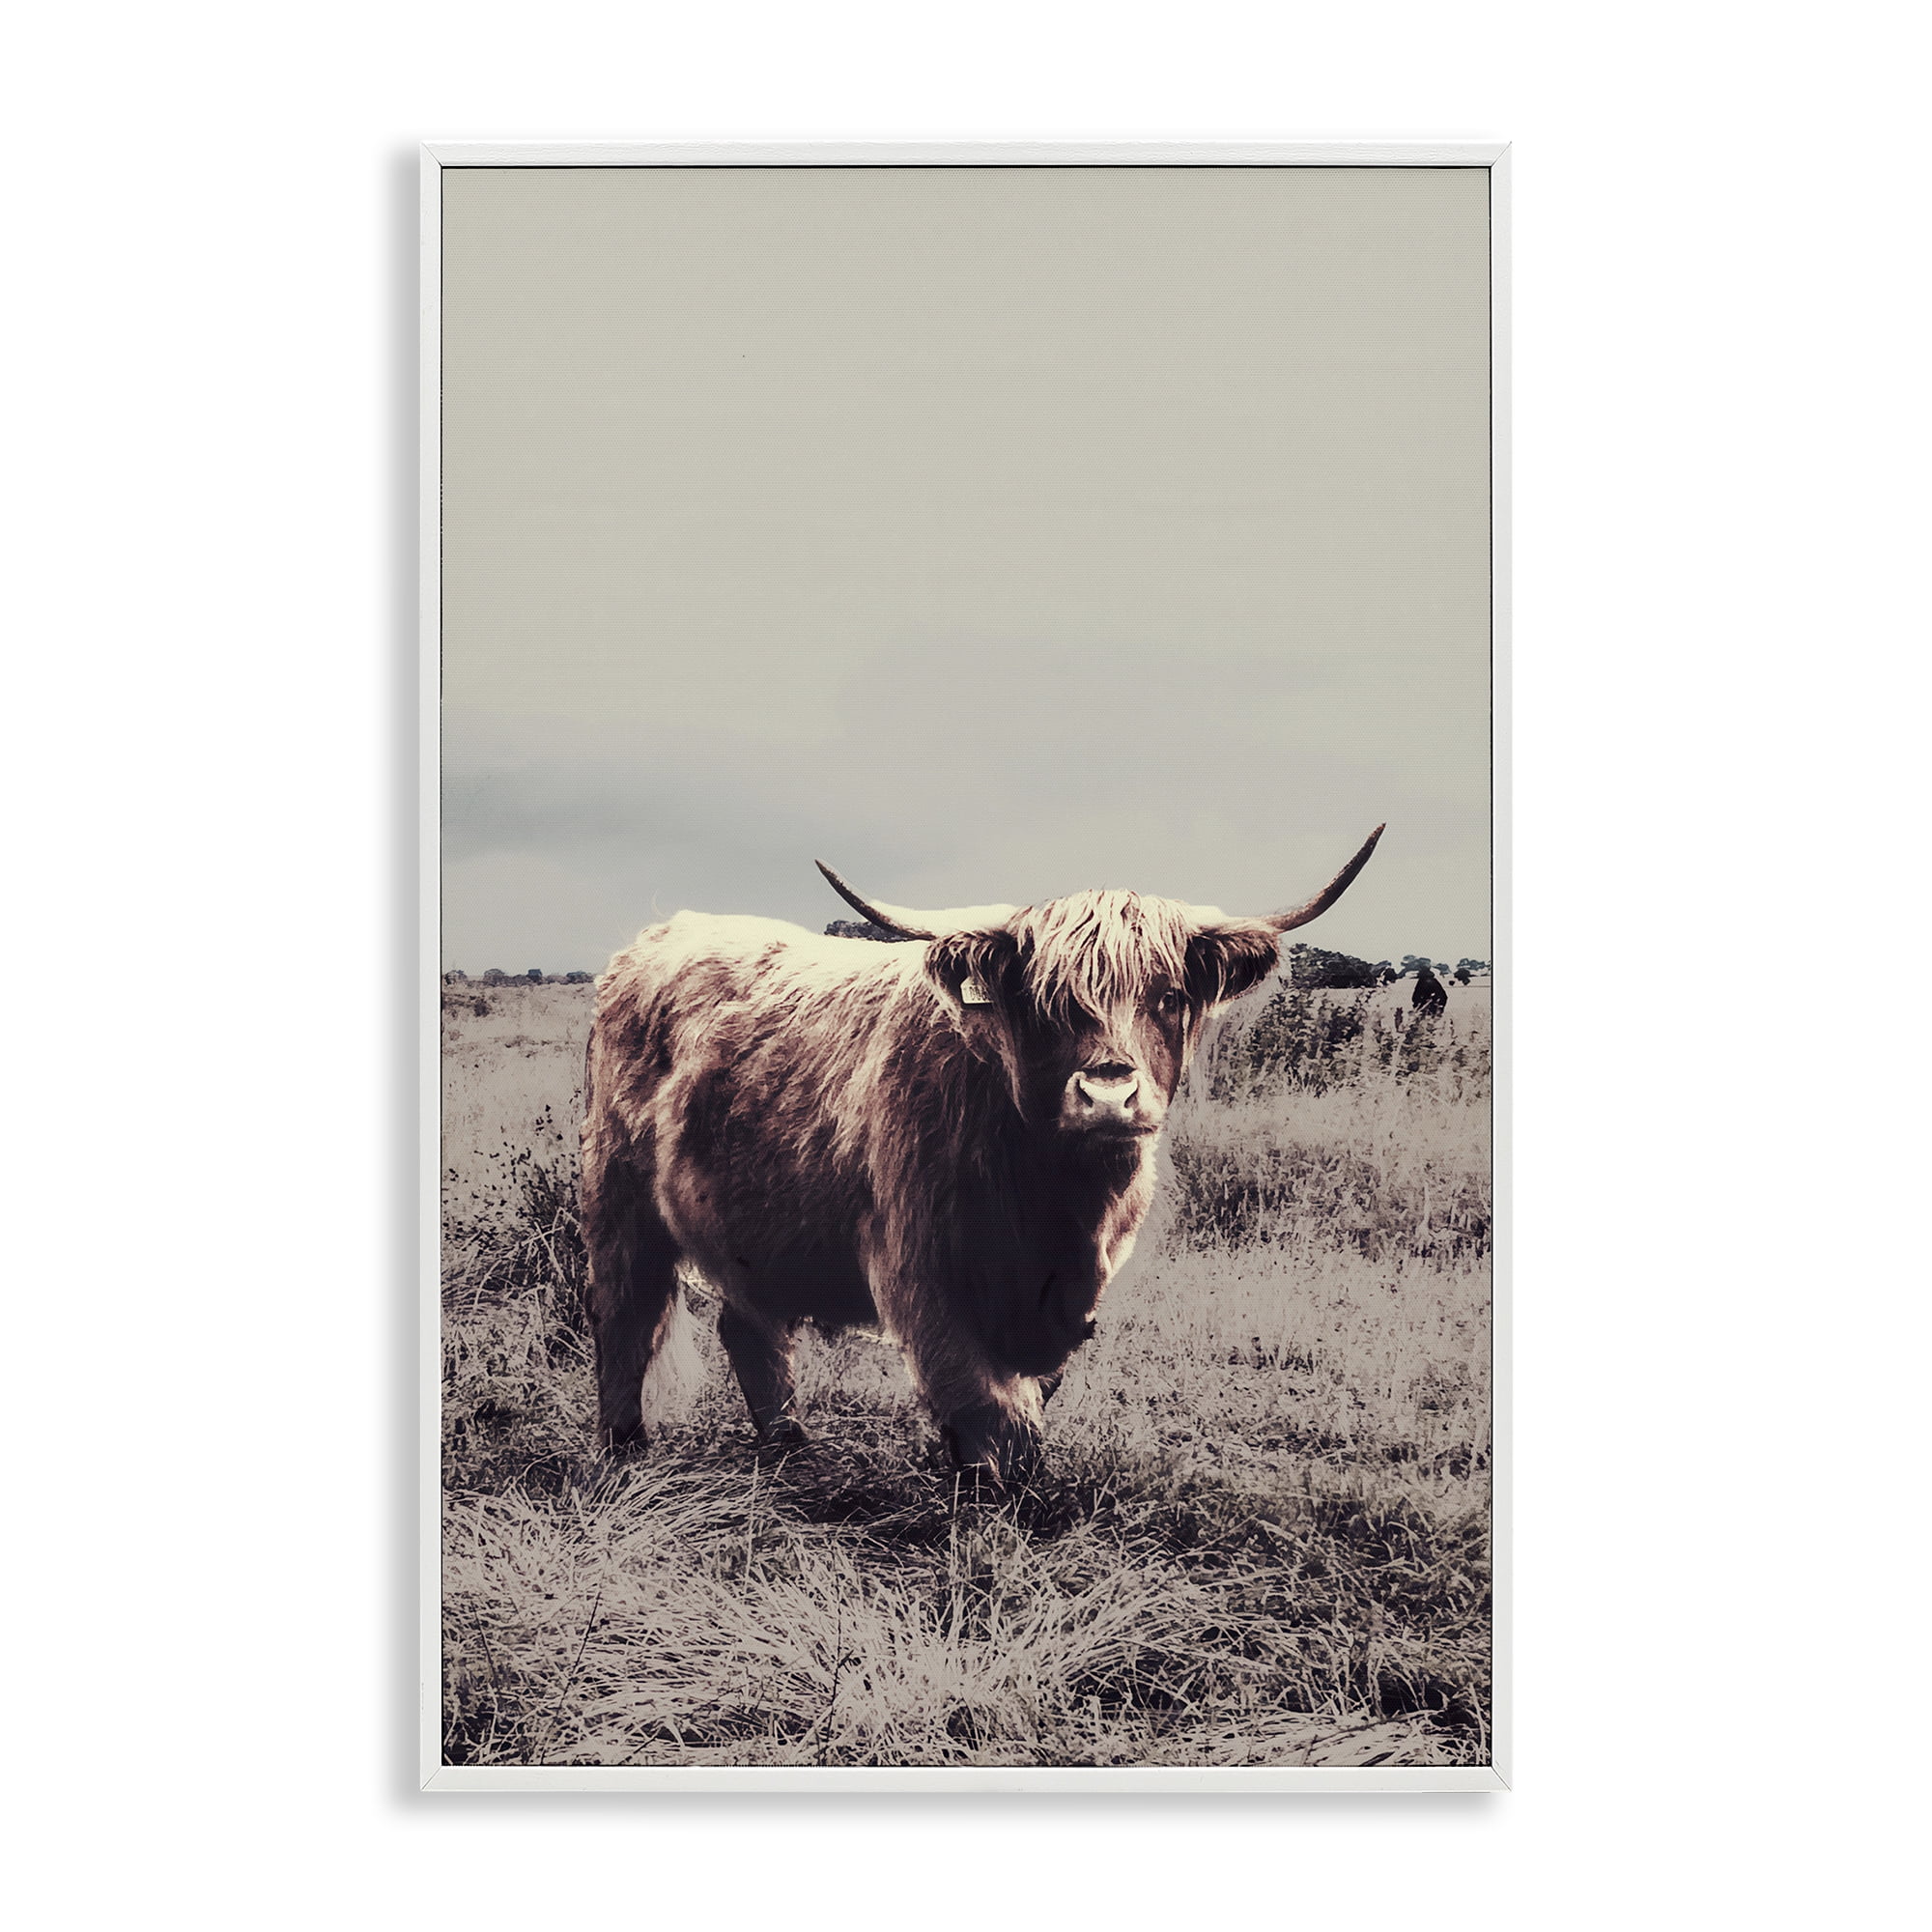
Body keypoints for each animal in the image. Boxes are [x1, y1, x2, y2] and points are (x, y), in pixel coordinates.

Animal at [579, 826, 1383, 1482]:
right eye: (1046, 1003)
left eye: (1169, 995)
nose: (1108, 1094)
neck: (1054, 1200)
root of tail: (660, 935)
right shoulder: (922, 1271)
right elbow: (987, 1405)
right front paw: (991, 1496)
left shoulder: (1072, 1294)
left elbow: (1028, 1395)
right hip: (618, 1199)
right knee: (625, 1315)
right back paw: (625, 1450)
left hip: (749, 1225)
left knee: (749, 1326)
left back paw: (789, 1448)